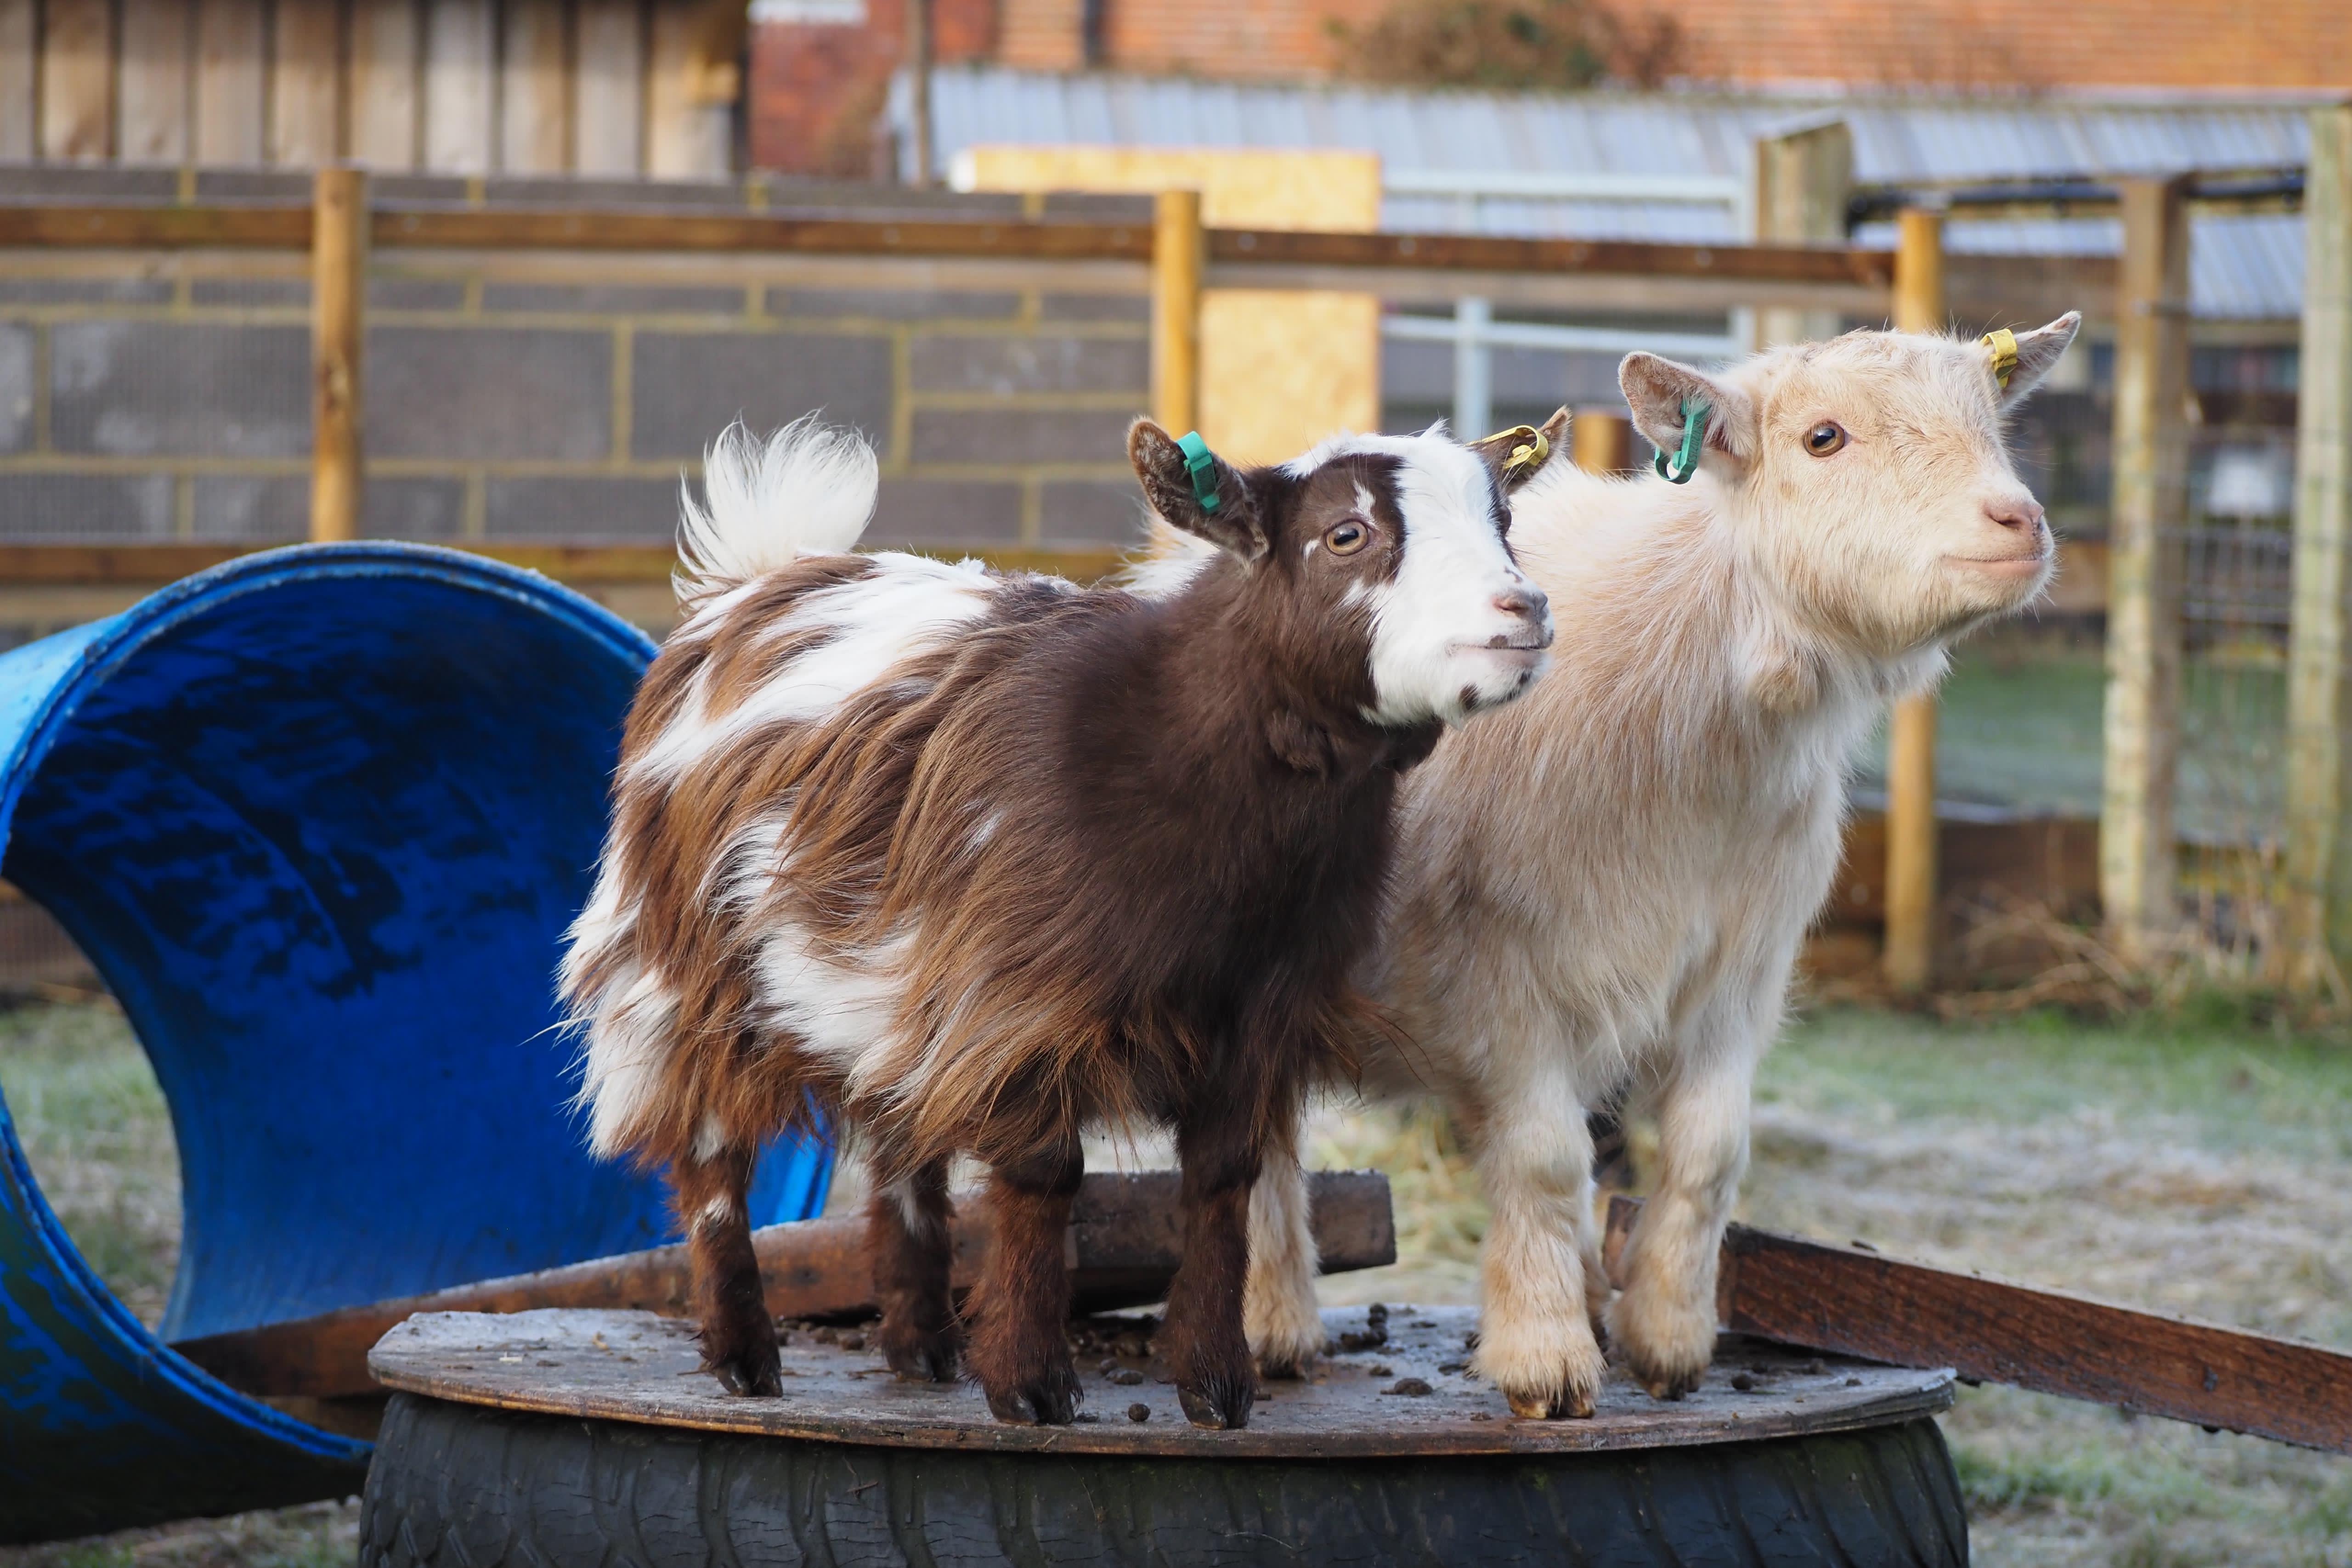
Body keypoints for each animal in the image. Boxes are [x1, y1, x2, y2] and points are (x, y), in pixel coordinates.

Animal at [560, 411, 1560, 1429]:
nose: (1523, 611)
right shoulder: (1021, 1001)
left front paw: (1216, 1386)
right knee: (711, 1151)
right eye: (1345, 534)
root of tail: (755, 580)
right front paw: (1032, 1385)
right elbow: (1046, 1175)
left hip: (887, 980)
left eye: (1506, 519)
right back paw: (745, 1357)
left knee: (901, 1138)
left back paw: (922, 1346)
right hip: (688, 966)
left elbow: (1222, 1179)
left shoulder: (1254, 1011)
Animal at [1244, 317, 2083, 1418]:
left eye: (1993, 421)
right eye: (1823, 437)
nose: (2016, 521)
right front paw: (1547, 1360)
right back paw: (1274, 1329)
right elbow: (1544, 1161)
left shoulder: (1735, 973)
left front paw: (1667, 1339)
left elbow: (1706, 1153)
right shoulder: (1497, 980)